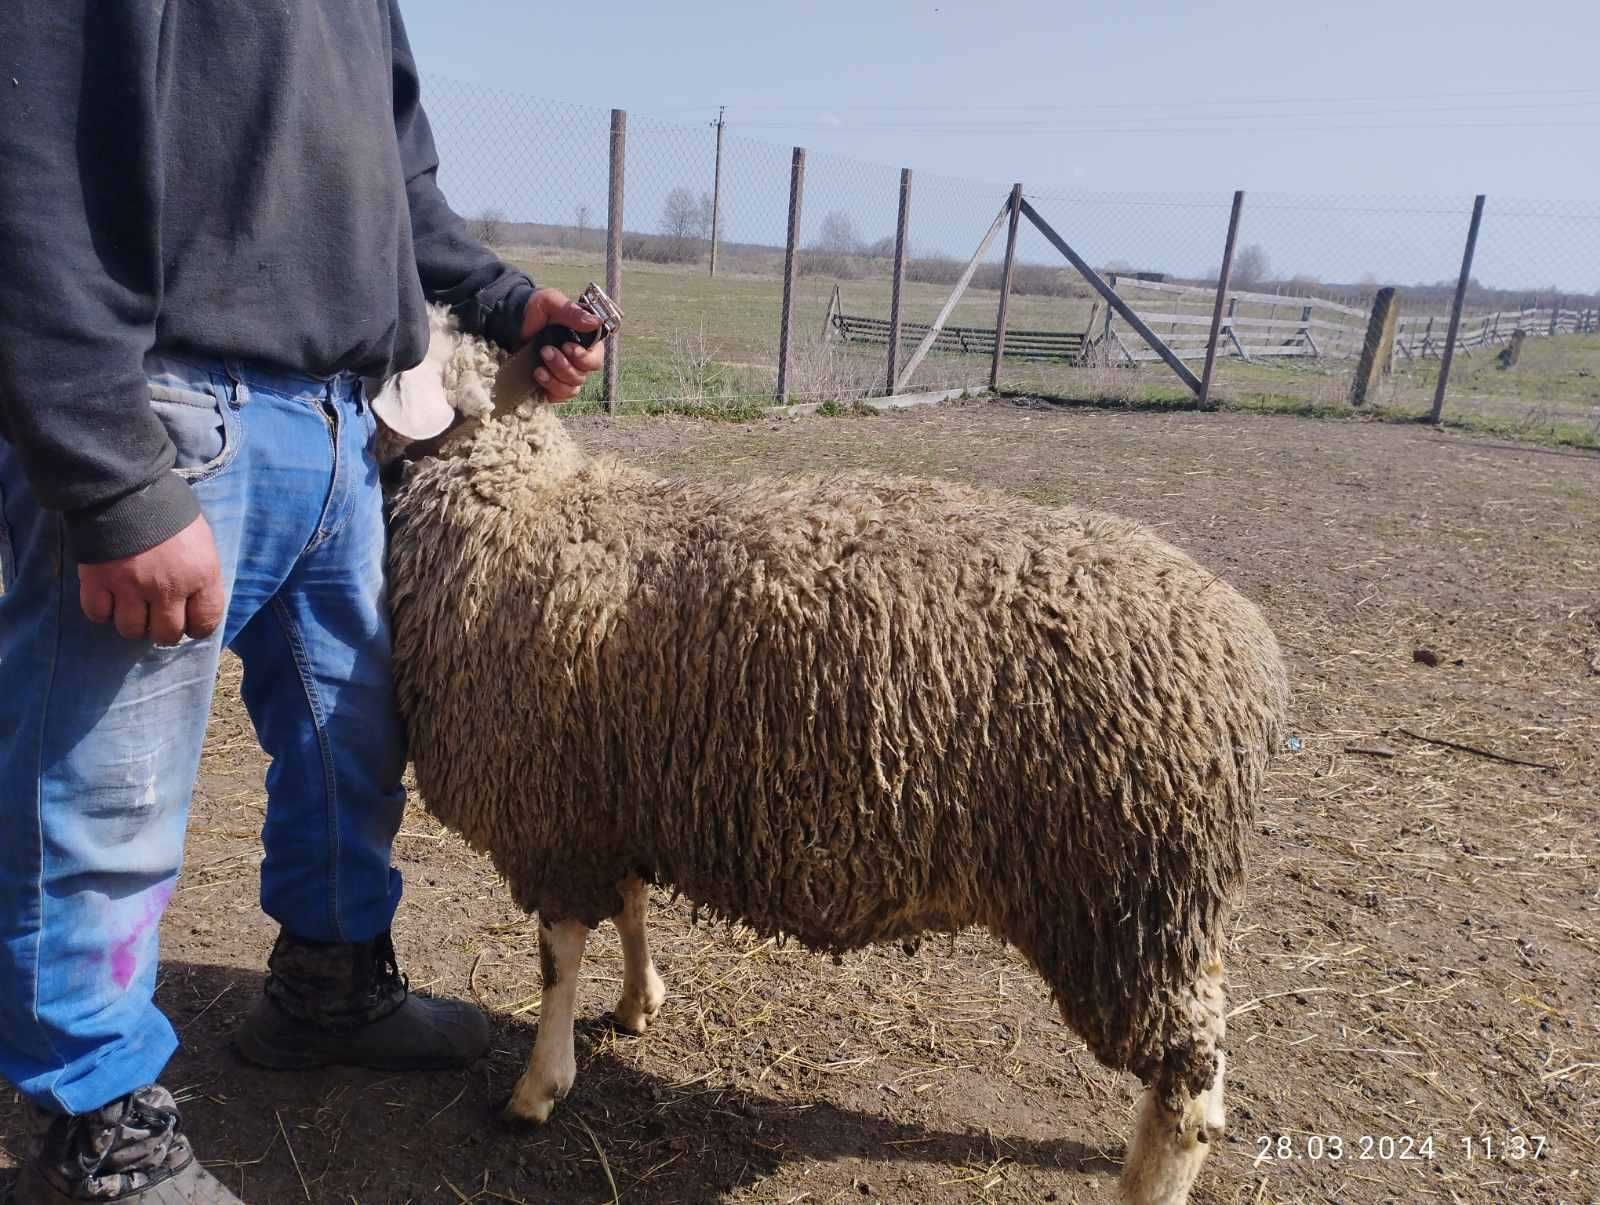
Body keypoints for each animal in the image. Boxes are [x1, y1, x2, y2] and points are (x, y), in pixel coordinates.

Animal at [380, 312, 1292, 1203]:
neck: (520, 510)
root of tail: (1249, 653)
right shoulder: (612, 794)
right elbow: (634, 905)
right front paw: (641, 1001)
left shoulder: (549, 812)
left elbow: (555, 961)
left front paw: (538, 1086)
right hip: (1167, 903)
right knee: (1209, 1061)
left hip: (1123, 902)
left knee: (1183, 1082)